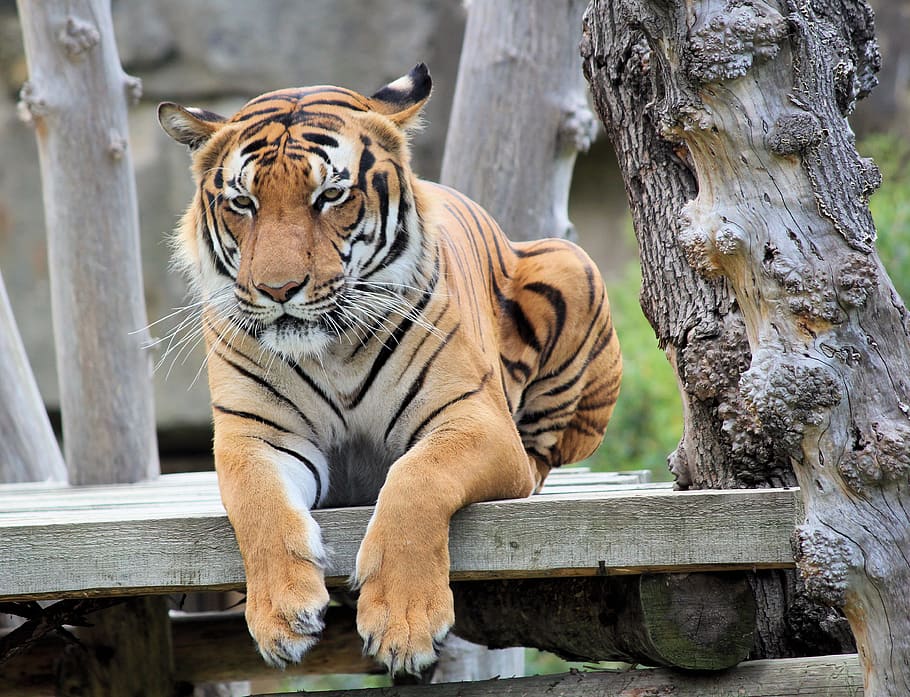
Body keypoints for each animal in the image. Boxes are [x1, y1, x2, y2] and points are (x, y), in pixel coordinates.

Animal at [157, 63, 621, 675]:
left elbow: (415, 480)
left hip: (571, 264)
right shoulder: (255, 436)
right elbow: (258, 504)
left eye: (330, 195)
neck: (330, 350)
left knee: (541, 455)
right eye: (243, 202)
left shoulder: (473, 419)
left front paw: (403, 624)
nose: (278, 290)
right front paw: (282, 616)